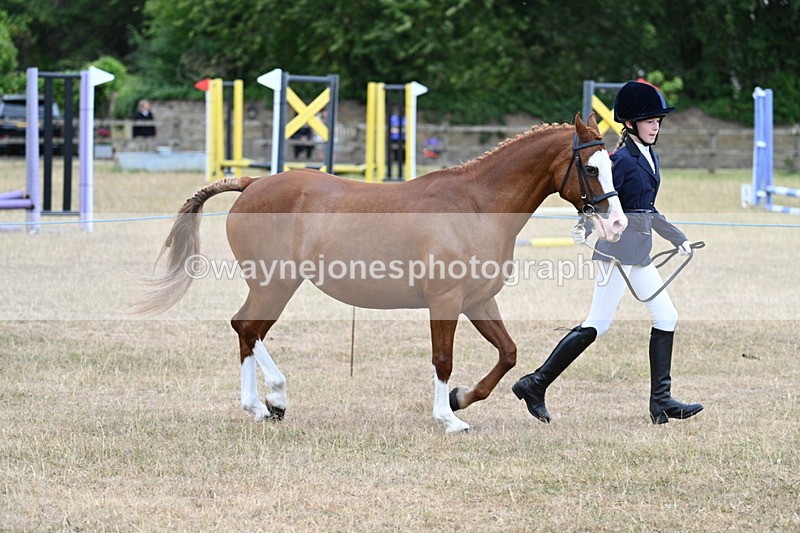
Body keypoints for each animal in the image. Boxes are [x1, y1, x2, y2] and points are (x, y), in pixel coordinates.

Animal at [133, 113, 627, 433]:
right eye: (590, 167)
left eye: (612, 165)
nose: (618, 223)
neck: (476, 205)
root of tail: (253, 183)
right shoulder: (445, 301)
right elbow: (443, 359)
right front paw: (449, 418)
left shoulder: (479, 300)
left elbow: (508, 353)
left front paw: (462, 398)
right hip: (275, 282)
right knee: (247, 327)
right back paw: (274, 397)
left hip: (274, 286)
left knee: (246, 330)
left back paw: (260, 406)